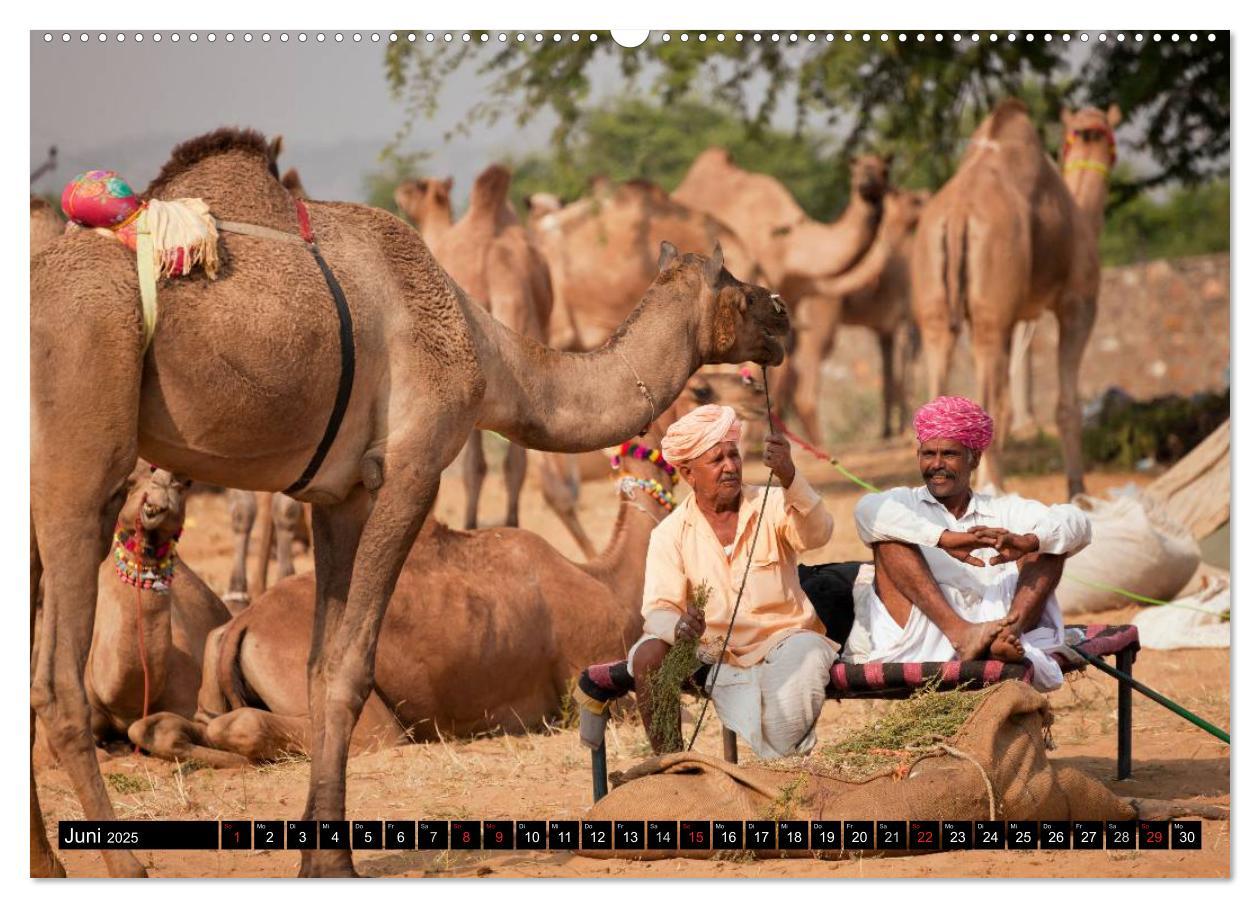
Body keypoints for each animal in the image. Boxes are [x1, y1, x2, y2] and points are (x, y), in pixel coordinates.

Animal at [393, 162, 551, 531]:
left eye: (416, 186)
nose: (398, 193)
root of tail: (497, 267)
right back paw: (511, 522)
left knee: (474, 464)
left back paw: (469, 523)